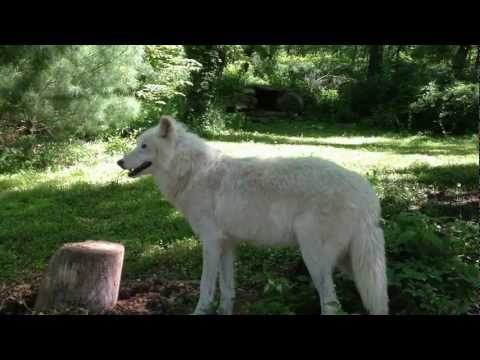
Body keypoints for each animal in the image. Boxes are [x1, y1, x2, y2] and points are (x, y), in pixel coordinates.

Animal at [118, 116, 388, 316]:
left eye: (143, 146)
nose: (119, 161)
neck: (192, 171)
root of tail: (367, 194)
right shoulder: (227, 245)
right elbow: (227, 291)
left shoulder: (210, 243)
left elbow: (206, 289)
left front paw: (200, 312)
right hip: (351, 263)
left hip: (315, 259)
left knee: (331, 304)